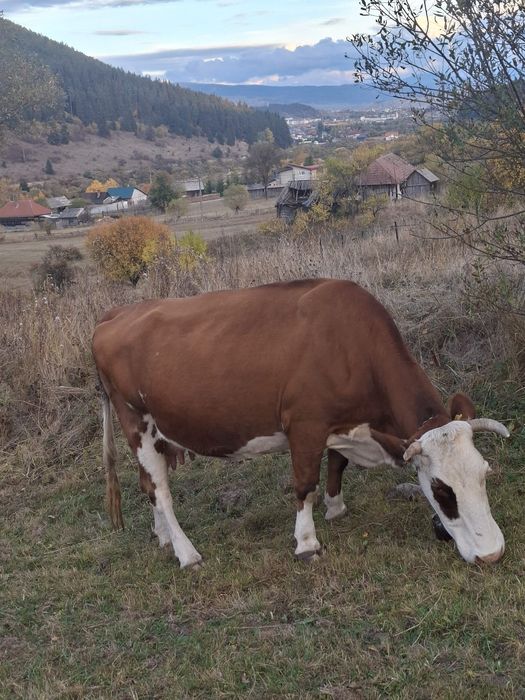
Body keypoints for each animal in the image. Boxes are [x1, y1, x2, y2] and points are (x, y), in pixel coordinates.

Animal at [92, 279, 509, 569]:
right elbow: (305, 484)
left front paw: (336, 507)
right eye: (440, 490)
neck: (348, 347)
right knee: (159, 489)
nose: (492, 553)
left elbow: (338, 462)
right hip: (136, 422)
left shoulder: (341, 425)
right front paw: (307, 544)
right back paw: (186, 552)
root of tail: (114, 314)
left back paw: (162, 535)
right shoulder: (305, 425)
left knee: (147, 484)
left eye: (485, 474)